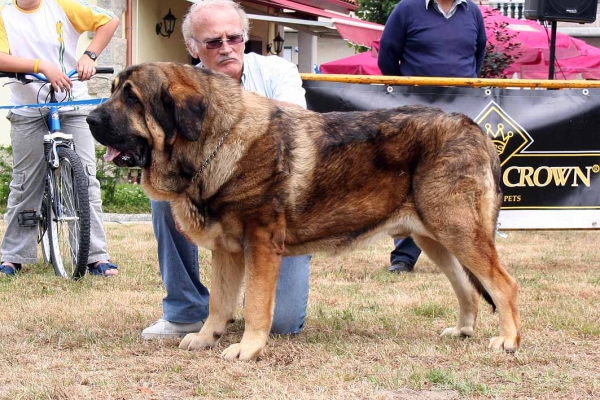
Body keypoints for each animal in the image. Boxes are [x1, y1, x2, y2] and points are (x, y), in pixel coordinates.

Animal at [88, 61, 520, 360]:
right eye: (113, 91)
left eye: (131, 97)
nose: (90, 117)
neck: (214, 142)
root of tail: (474, 127)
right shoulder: (227, 251)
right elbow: (220, 303)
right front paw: (207, 337)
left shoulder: (260, 246)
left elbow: (256, 304)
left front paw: (248, 349)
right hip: (435, 237)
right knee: (467, 287)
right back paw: (463, 331)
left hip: (458, 231)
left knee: (503, 285)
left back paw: (508, 340)